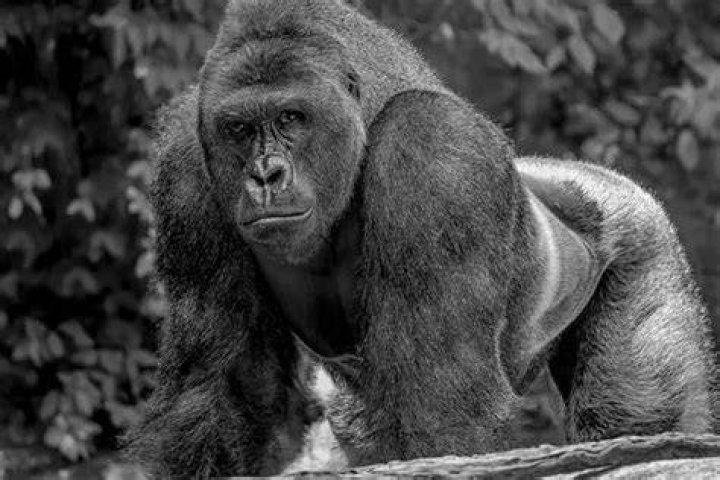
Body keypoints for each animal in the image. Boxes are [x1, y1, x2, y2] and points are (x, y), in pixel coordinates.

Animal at [124, 0, 716, 476]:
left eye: (292, 118)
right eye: (240, 129)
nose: (266, 175)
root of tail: (568, 170)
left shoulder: (434, 152)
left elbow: (445, 412)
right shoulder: (186, 166)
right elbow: (216, 391)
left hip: (639, 226)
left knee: (639, 421)